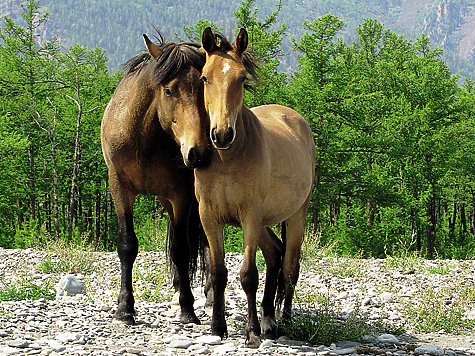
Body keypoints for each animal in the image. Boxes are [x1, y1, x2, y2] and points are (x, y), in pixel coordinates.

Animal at [101, 33, 211, 326]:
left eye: (205, 88)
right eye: (169, 90)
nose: (198, 153)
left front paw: (188, 309)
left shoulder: (181, 193)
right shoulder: (119, 187)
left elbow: (181, 249)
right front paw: (125, 308)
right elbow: (127, 244)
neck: (144, 138)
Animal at [195, 28, 318, 348]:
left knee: (290, 267)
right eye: (205, 78)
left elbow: (249, 274)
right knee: (275, 254)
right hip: (264, 221)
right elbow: (219, 273)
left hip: (295, 215)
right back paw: (269, 320)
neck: (227, 159)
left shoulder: (250, 216)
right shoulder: (209, 217)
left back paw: (284, 321)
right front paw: (217, 328)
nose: (221, 134)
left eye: (241, 78)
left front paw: (251, 333)